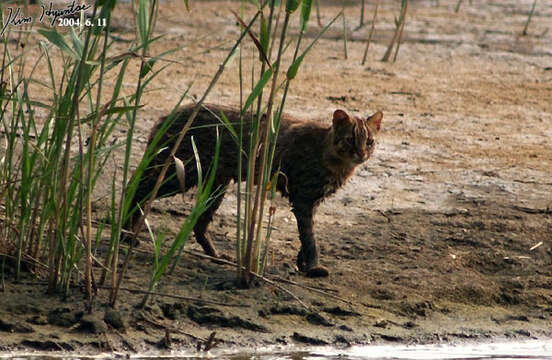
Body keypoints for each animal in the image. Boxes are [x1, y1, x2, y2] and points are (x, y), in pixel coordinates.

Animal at [125, 104, 384, 278]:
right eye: (350, 140)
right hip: (180, 173)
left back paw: (215, 255)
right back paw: (127, 232)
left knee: (199, 224)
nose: (362, 153)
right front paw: (313, 267)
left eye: (369, 141)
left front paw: (302, 264)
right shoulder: (302, 197)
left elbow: (305, 237)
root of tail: (170, 113)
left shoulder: (309, 201)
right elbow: (310, 238)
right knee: (135, 189)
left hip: (215, 183)